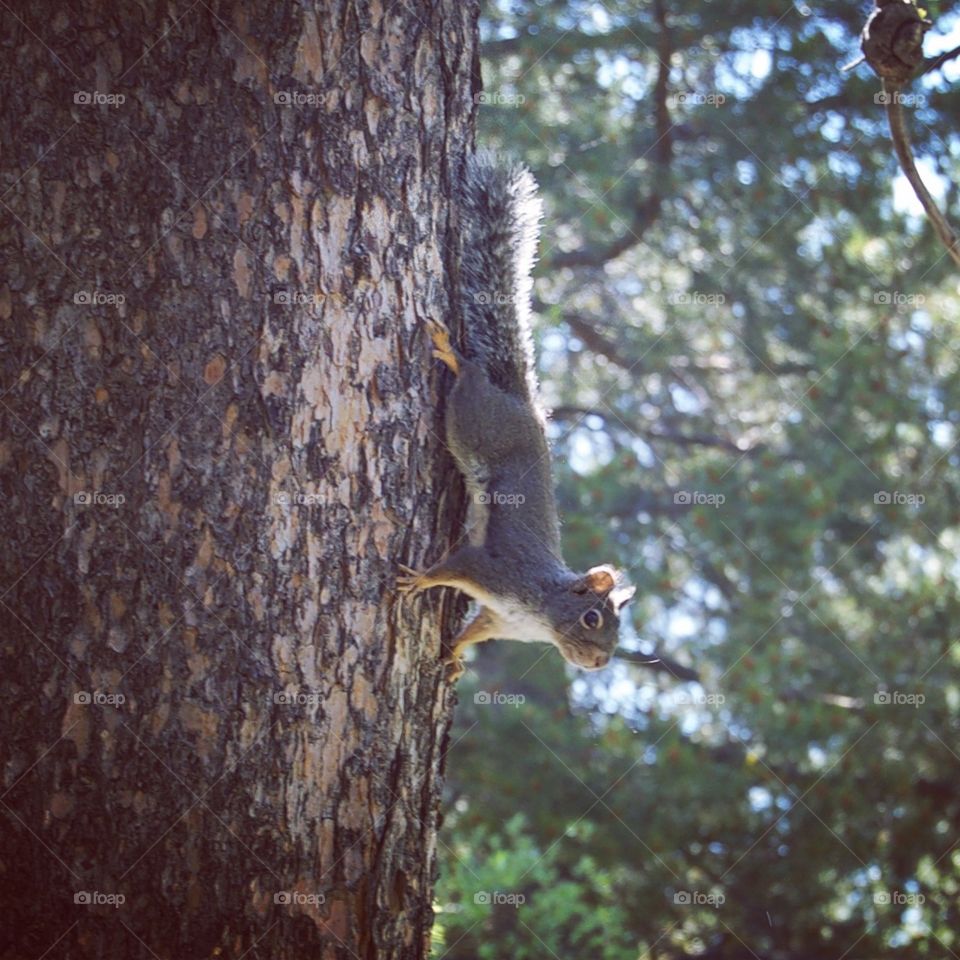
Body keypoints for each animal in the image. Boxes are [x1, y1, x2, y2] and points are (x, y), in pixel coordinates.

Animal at [399, 152, 635, 680]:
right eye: (592, 618)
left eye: (617, 629)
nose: (599, 663)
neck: (541, 612)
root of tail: (525, 406)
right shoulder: (494, 572)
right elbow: (452, 568)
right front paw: (418, 580)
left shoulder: (497, 618)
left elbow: (473, 631)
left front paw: (453, 657)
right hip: (473, 421)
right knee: (469, 379)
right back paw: (451, 354)